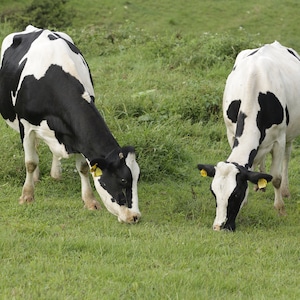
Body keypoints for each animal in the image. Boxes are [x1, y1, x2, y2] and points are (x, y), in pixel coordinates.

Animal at [0, 25, 141, 223]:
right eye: (123, 180)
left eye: (137, 178)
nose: (135, 217)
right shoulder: (26, 126)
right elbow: (30, 162)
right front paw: (27, 196)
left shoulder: (77, 136)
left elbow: (83, 167)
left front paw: (90, 201)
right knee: (34, 149)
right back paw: (35, 179)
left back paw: (55, 174)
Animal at [198, 41, 300, 231]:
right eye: (213, 193)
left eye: (235, 194)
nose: (219, 227)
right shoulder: (231, 133)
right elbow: (251, 167)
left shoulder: (279, 139)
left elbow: (276, 178)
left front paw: (280, 208)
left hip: (290, 134)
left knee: (287, 156)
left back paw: (285, 190)